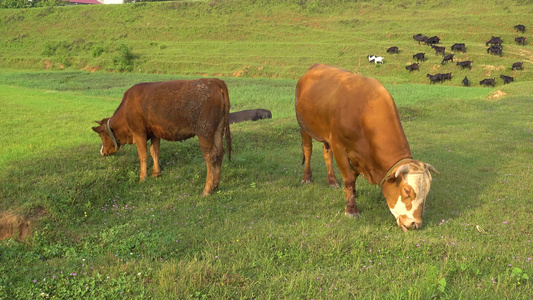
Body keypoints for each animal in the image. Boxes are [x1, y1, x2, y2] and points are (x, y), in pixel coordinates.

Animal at [91, 78, 231, 196]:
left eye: (100, 135)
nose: (102, 152)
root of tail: (214, 81)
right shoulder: (155, 133)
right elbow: (155, 152)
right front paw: (155, 173)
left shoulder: (139, 133)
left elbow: (143, 155)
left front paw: (142, 178)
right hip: (218, 130)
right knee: (219, 152)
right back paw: (215, 185)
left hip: (204, 132)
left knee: (210, 156)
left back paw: (207, 189)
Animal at [296, 64, 436, 231]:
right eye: (407, 190)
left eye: (427, 191)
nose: (415, 223)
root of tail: (316, 66)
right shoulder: (339, 147)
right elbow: (349, 179)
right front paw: (351, 209)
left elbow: (353, 176)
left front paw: (352, 194)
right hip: (304, 126)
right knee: (308, 150)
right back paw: (307, 178)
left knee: (326, 154)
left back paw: (332, 181)